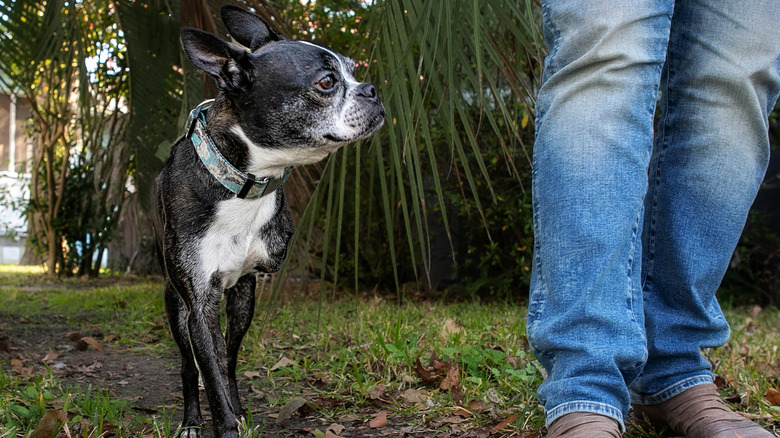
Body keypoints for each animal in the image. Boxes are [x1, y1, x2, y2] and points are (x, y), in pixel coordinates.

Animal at [152, 5, 384, 436]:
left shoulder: (246, 287)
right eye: (327, 83)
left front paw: (235, 411)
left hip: (241, 303)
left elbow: (224, 365)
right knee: (189, 364)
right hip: (175, 305)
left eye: (353, 70)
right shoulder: (199, 305)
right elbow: (208, 372)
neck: (243, 182)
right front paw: (223, 425)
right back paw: (191, 419)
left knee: (228, 356)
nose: (372, 89)